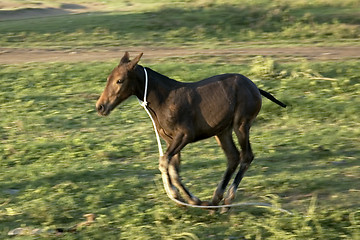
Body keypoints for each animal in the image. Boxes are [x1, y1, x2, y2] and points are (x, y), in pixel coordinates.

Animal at [96, 53, 286, 207]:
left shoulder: (185, 135)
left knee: (246, 156)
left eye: (119, 80)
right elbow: (173, 168)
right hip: (222, 131)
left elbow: (164, 161)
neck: (163, 100)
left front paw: (175, 194)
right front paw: (190, 200)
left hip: (241, 124)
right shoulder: (170, 140)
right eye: (107, 79)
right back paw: (215, 199)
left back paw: (227, 199)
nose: (100, 106)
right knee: (233, 157)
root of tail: (255, 87)